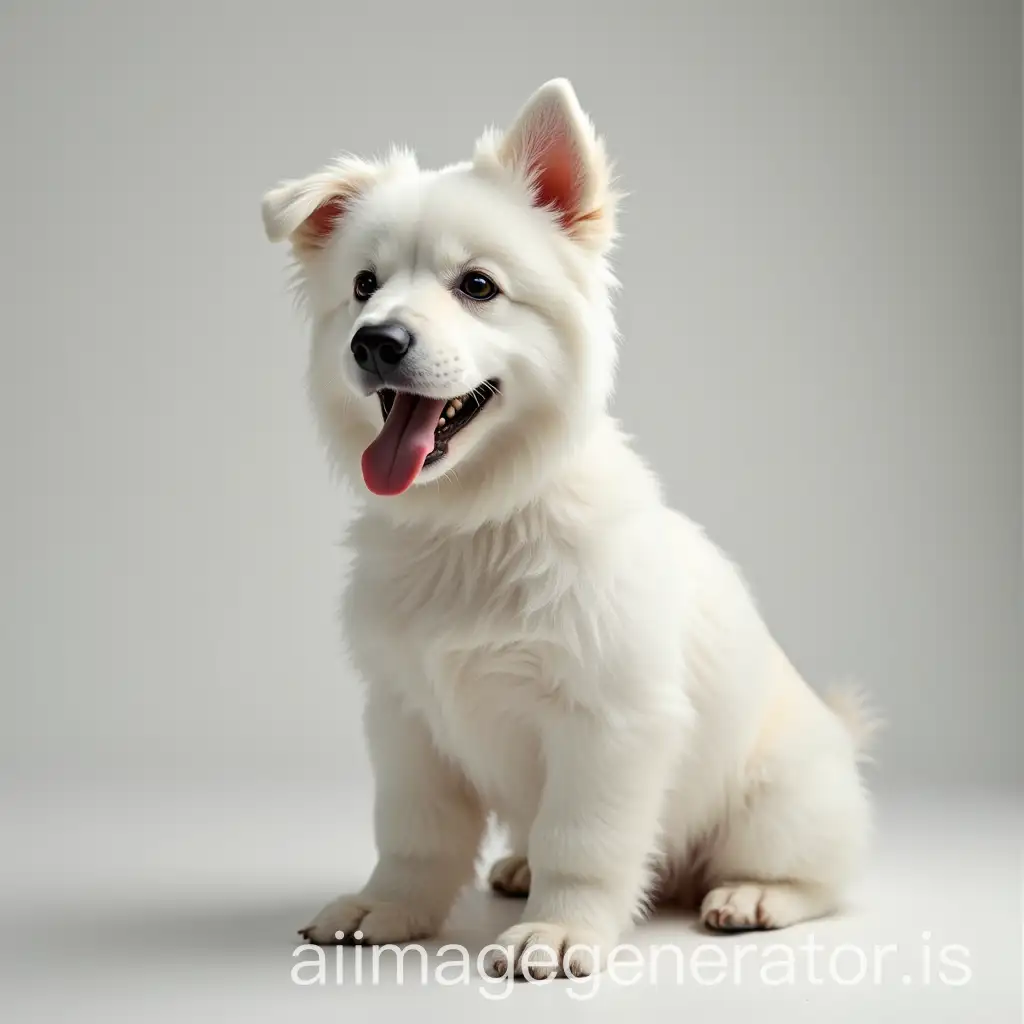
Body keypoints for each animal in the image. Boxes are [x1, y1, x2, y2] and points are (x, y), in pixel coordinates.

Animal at [260, 77, 876, 974]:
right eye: (365, 285)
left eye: (478, 286)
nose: (376, 342)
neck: (477, 523)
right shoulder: (405, 721)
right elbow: (414, 837)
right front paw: (389, 907)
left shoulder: (607, 726)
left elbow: (583, 843)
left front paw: (559, 932)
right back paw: (517, 867)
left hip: (777, 802)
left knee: (822, 878)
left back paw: (753, 896)